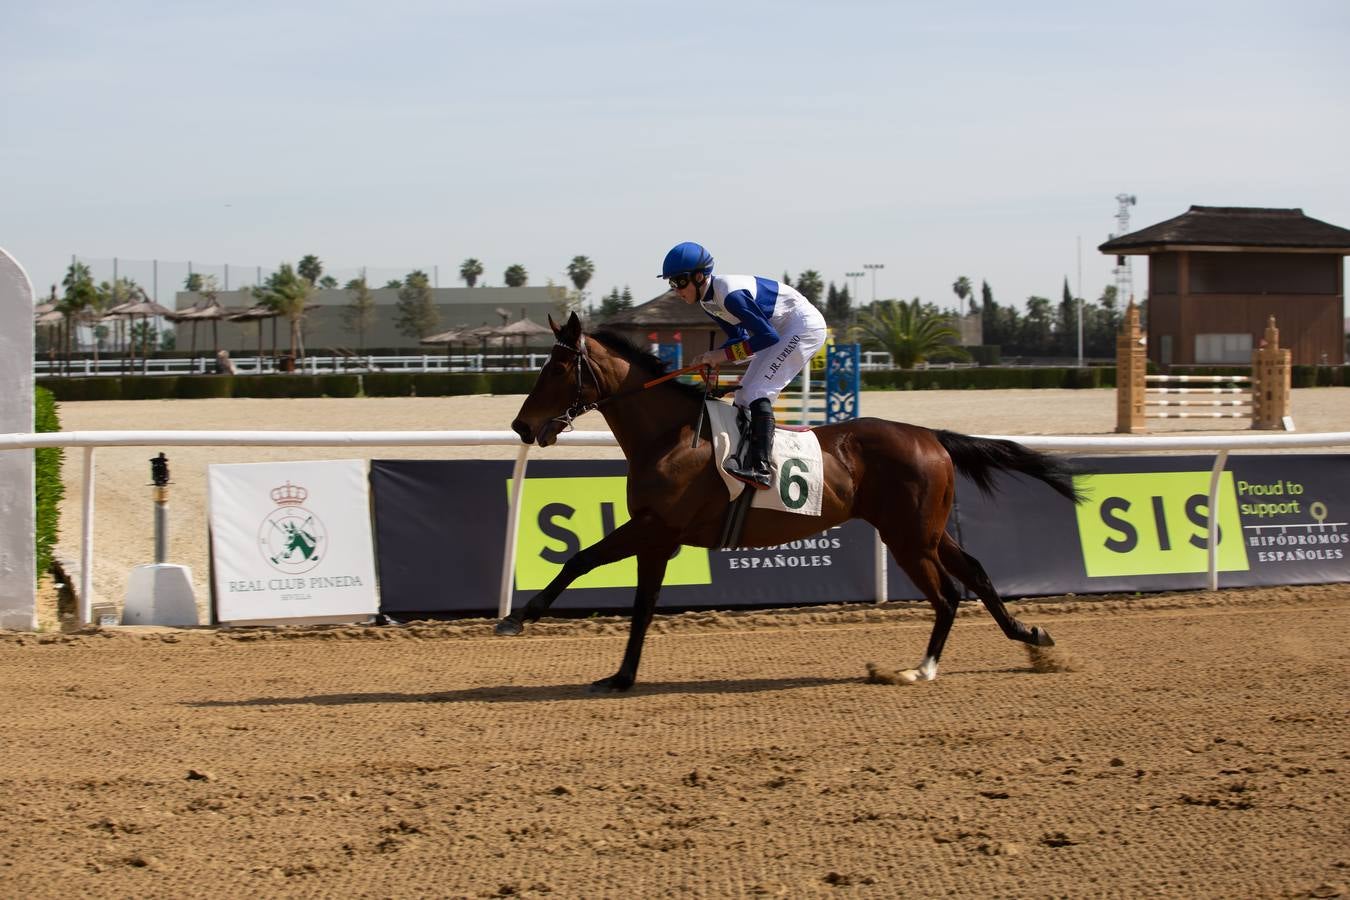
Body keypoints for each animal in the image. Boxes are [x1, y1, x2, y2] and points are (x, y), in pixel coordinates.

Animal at [499, 313, 1085, 696]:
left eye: (556, 370)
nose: (522, 426)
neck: (669, 435)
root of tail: (931, 436)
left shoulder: (653, 526)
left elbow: (580, 560)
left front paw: (518, 618)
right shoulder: (659, 538)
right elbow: (641, 606)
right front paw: (621, 677)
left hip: (908, 537)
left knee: (947, 595)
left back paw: (918, 670)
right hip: (926, 529)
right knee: (977, 573)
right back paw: (1031, 637)